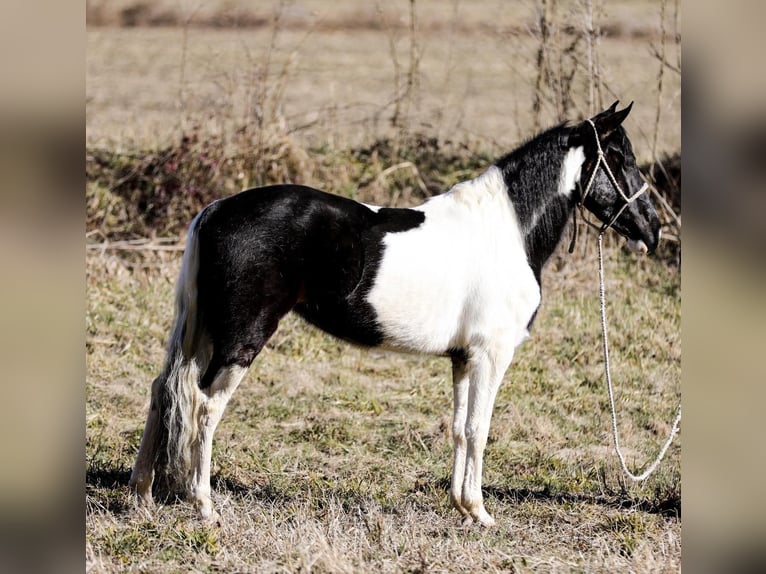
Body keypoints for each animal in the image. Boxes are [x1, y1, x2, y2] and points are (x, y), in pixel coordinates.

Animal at [130, 102, 660, 528]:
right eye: (618, 158)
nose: (652, 229)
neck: (507, 231)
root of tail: (215, 209)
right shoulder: (491, 355)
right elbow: (479, 429)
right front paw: (482, 513)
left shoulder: (464, 358)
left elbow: (459, 429)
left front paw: (463, 507)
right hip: (241, 338)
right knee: (204, 407)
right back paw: (204, 506)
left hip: (201, 334)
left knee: (163, 392)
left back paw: (142, 496)